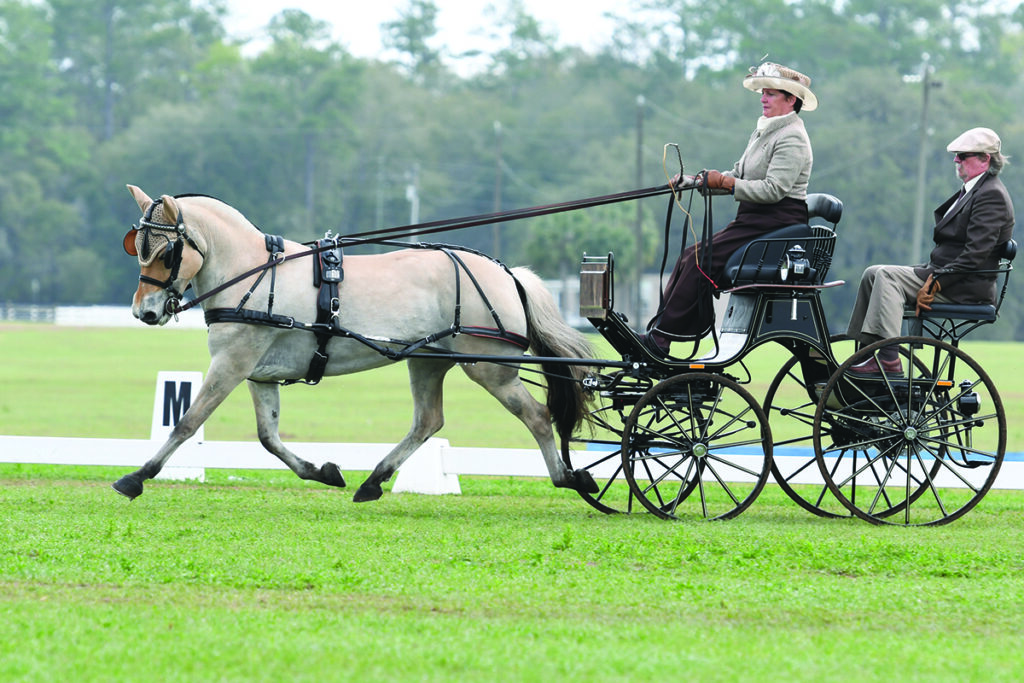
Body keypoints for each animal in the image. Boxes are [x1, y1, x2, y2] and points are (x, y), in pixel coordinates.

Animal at [113, 185, 598, 501]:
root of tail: (507, 273)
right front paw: (323, 471)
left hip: (492, 369)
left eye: (166, 252)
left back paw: (570, 478)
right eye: (137, 246)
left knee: (537, 416)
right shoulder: (258, 374)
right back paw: (373, 481)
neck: (254, 272)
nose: (145, 312)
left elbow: (187, 422)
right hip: (427, 361)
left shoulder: (231, 364)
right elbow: (268, 437)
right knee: (428, 421)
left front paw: (138, 476)